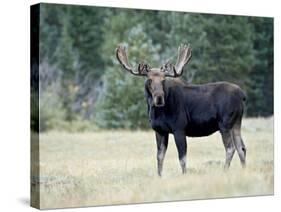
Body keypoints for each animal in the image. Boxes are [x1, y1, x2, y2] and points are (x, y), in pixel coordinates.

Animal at [115, 43, 244, 176]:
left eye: (163, 80)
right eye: (149, 80)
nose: (159, 98)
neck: (157, 113)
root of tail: (242, 94)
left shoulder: (179, 128)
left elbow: (182, 157)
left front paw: (184, 174)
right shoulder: (160, 130)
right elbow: (159, 156)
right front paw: (159, 176)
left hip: (225, 123)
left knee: (230, 148)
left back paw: (225, 170)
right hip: (236, 122)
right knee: (241, 147)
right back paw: (243, 170)